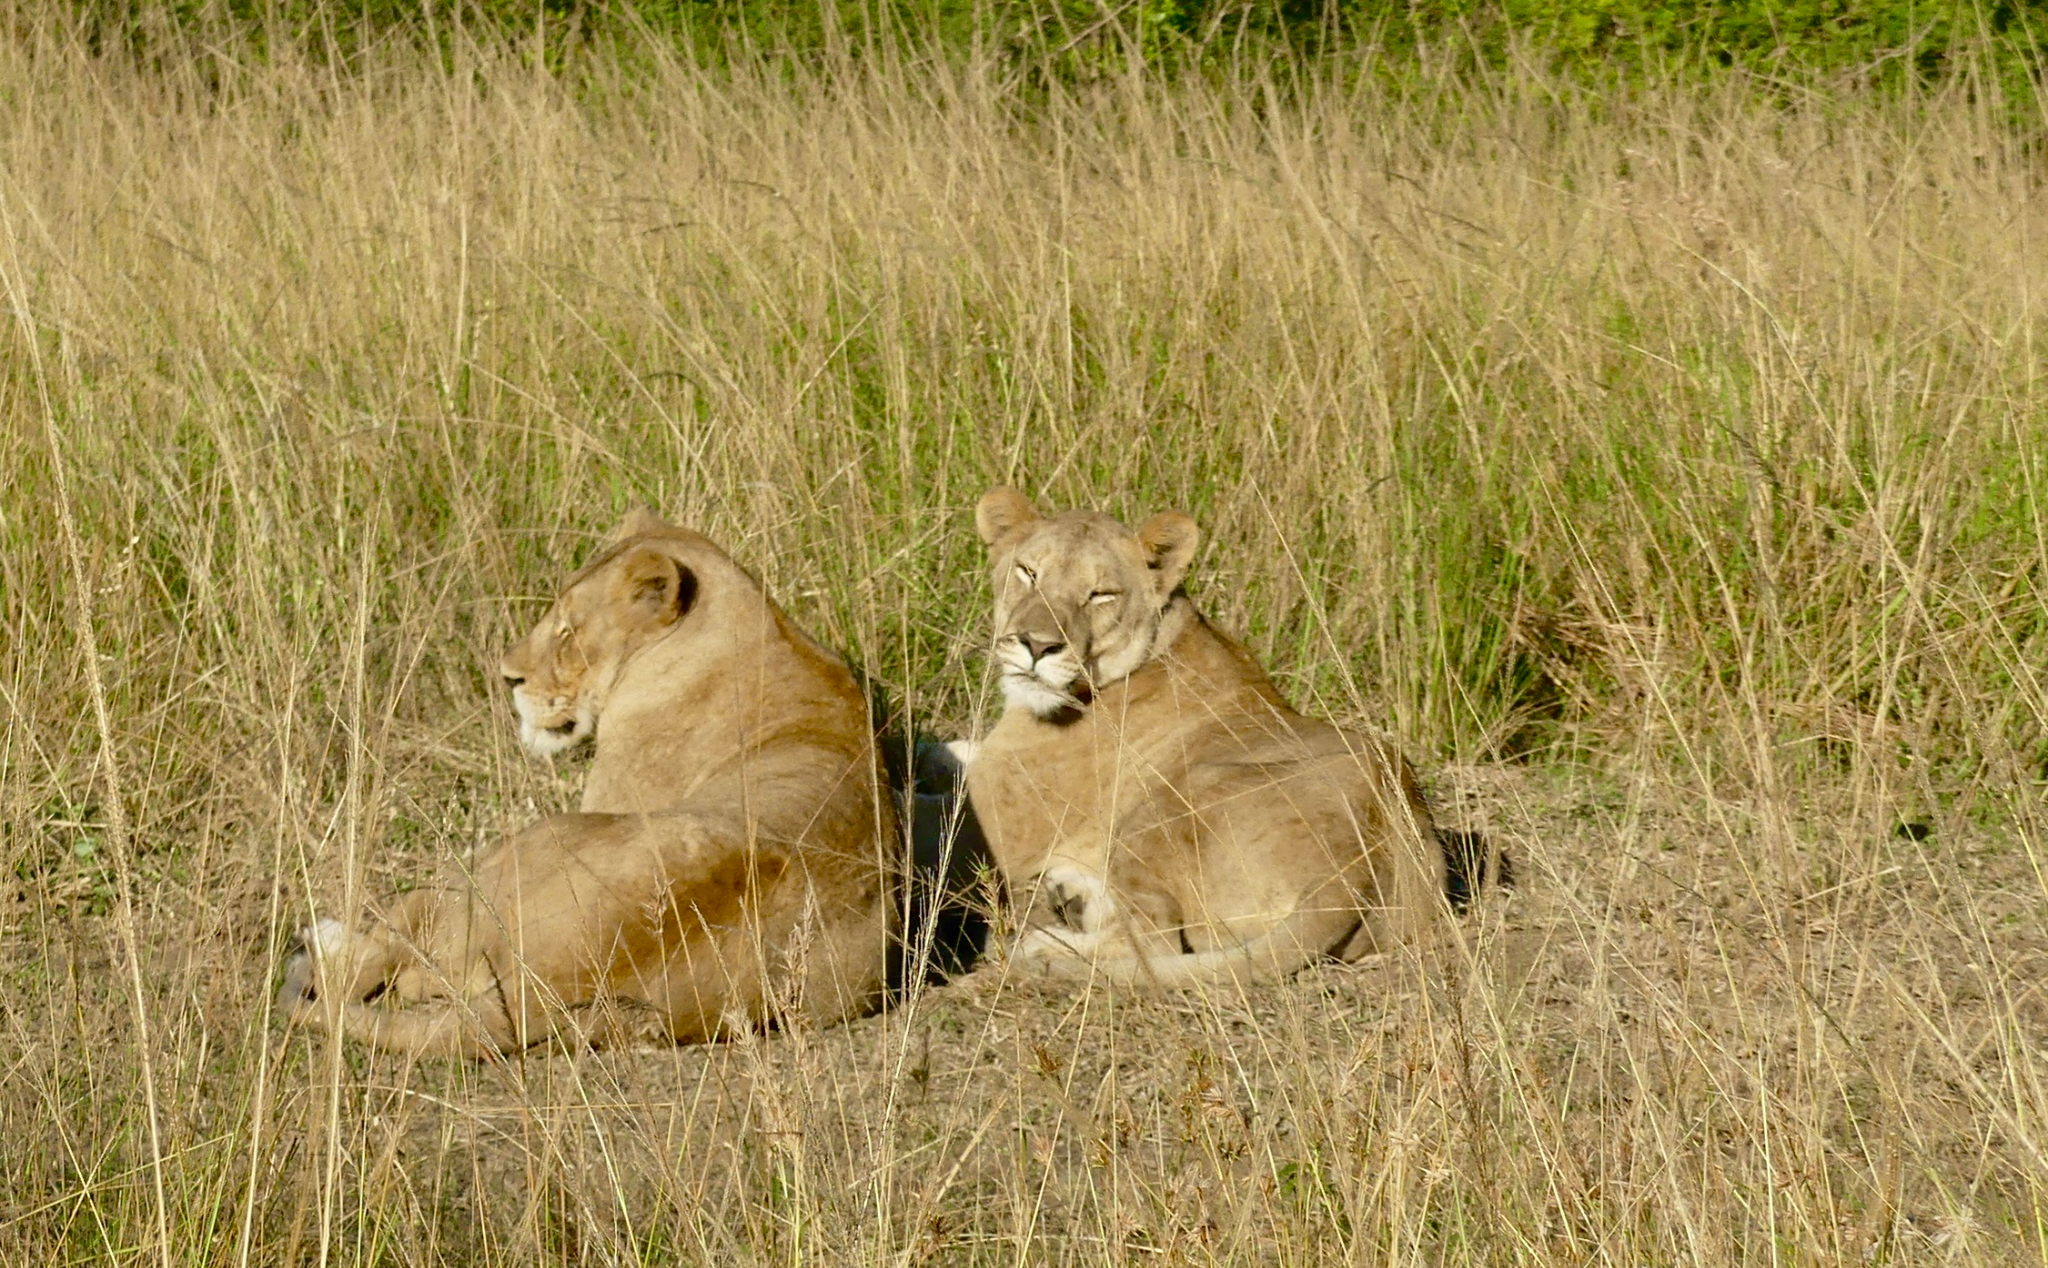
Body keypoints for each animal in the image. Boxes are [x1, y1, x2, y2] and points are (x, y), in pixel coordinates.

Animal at [276, 509, 894, 1056]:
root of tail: (529, 995)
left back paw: (317, 946)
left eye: (568, 633)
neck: (762, 629)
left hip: (523, 848)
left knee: (379, 954)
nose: (508, 676)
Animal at [965, 487, 1487, 989]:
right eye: (1028, 572)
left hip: (1165, 804)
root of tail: (1355, 866)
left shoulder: (998, 824)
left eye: (1101, 594)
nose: (1036, 645)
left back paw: (1040, 947)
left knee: (1152, 943)